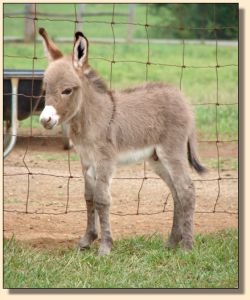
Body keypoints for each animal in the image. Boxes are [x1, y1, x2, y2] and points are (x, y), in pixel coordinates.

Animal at [38, 28, 204, 255]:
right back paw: (171, 243)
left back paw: (187, 247)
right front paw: (86, 241)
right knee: (176, 193)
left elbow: (102, 199)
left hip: (172, 152)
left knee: (187, 190)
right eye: (45, 89)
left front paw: (105, 247)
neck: (92, 117)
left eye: (67, 91)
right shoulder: (86, 161)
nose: (45, 120)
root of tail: (183, 99)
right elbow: (88, 197)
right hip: (157, 159)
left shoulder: (105, 160)